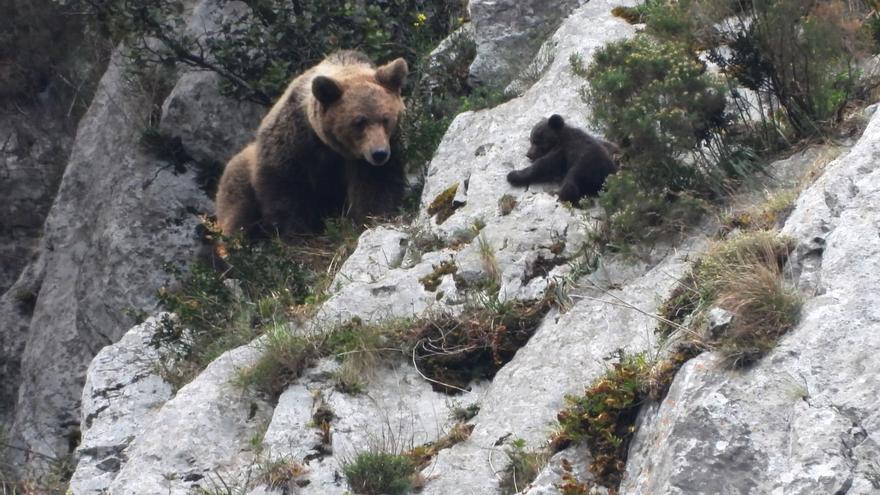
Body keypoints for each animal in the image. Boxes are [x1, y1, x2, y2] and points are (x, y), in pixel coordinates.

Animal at [215, 51, 408, 237]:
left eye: (386, 119)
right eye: (359, 122)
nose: (379, 153)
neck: (331, 146)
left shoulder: (372, 155)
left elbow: (375, 185)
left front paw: (372, 218)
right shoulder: (293, 142)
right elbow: (287, 189)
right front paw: (295, 232)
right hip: (239, 178)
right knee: (239, 213)